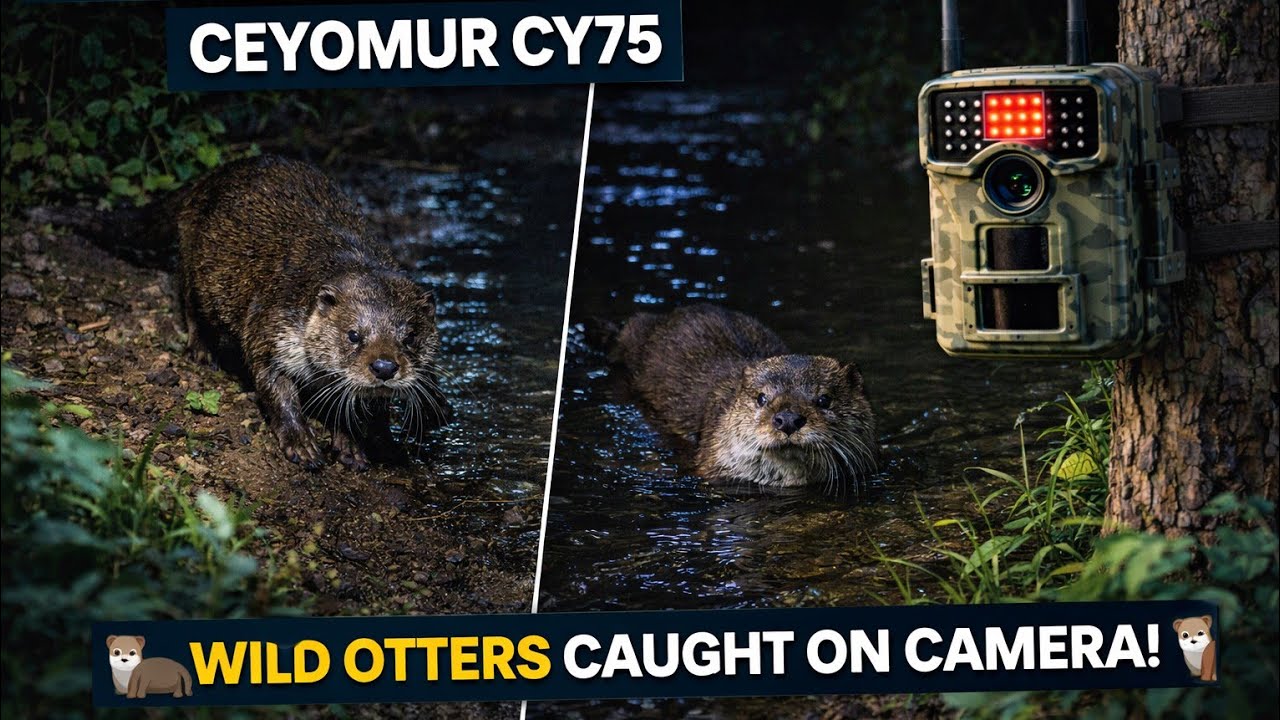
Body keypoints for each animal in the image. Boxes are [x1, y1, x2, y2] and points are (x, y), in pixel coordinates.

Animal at [37, 155, 450, 470]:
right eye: (353, 335)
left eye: (410, 337)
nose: (384, 366)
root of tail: (211, 178)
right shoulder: (270, 330)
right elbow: (274, 387)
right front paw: (301, 442)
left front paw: (351, 443)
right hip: (195, 264)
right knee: (188, 300)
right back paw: (202, 351)